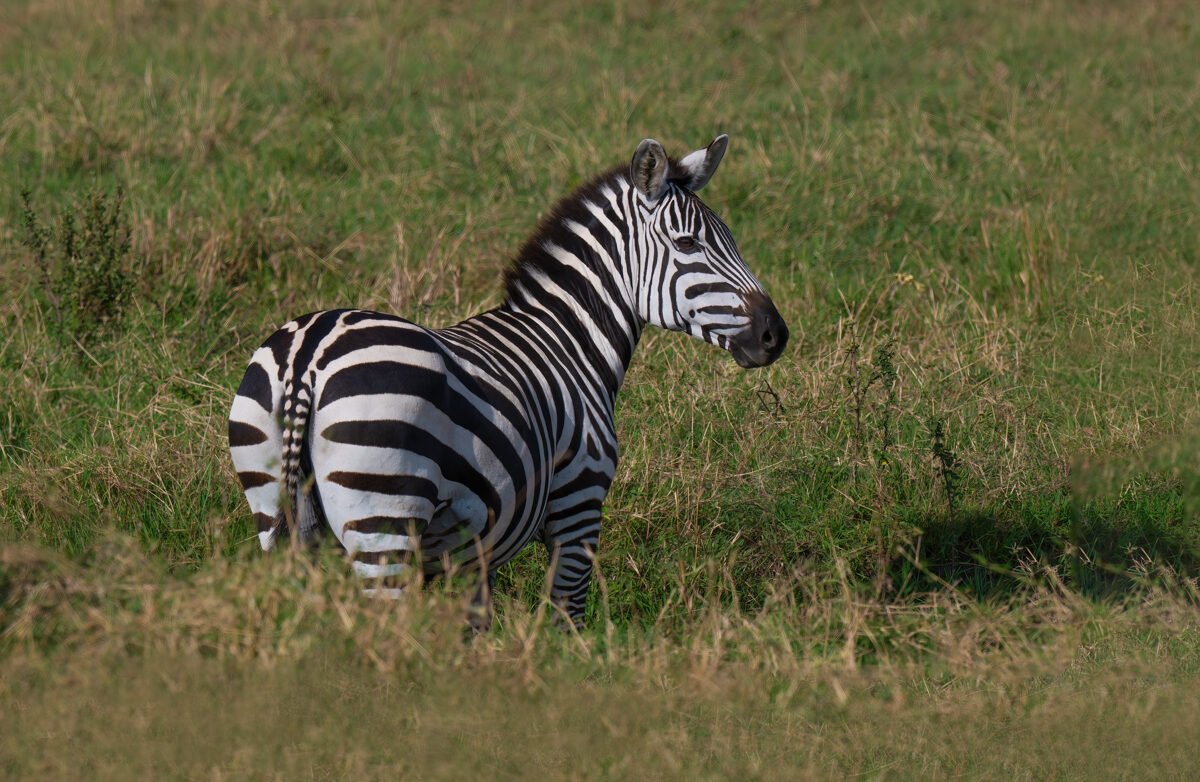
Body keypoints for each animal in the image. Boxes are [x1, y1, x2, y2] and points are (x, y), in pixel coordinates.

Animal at [228, 135, 788, 628]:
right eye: (688, 243)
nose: (775, 335)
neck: (568, 340)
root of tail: (309, 355)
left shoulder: (475, 550)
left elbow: (475, 626)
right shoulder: (579, 507)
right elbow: (566, 618)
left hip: (275, 508)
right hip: (383, 524)